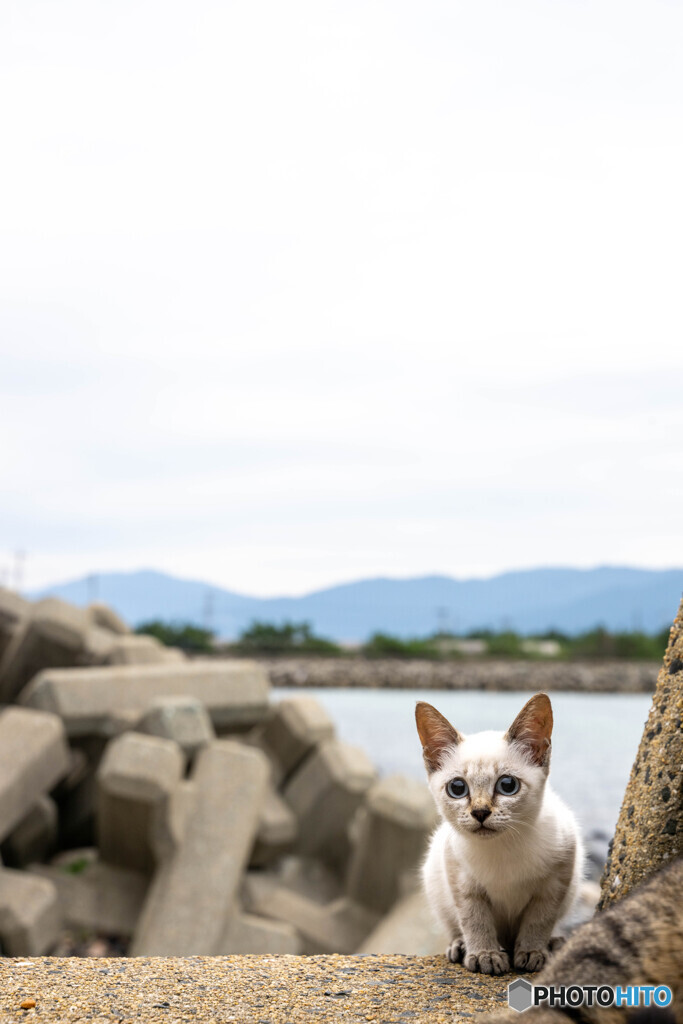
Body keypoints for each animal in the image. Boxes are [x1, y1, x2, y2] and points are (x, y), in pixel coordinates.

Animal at [417, 696, 581, 974]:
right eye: (457, 788)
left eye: (507, 785)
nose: (480, 812)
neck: (502, 848)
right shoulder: (462, 883)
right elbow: (475, 921)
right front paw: (486, 955)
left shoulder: (554, 883)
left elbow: (539, 921)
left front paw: (532, 952)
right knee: (455, 927)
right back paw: (460, 946)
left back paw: (554, 943)